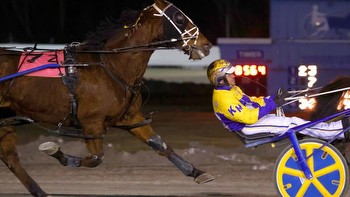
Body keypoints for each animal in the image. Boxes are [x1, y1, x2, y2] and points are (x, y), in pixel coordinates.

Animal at [0, 0, 213, 196]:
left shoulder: (129, 117)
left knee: (10, 158)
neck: (112, 64)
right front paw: (55, 152)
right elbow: (95, 159)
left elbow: (159, 144)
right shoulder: (91, 123)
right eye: (179, 18)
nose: (207, 45)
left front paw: (196, 172)